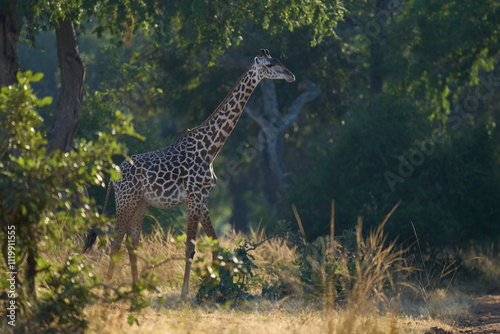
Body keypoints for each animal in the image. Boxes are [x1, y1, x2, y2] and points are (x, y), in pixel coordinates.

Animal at [81, 49, 292, 298]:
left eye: (279, 61)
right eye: (270, 64)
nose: (290, 75)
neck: (211, 149)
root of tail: (112, 176)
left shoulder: (203, 198)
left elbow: (214, 242)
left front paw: (216, 287)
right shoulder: (193, 196)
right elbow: (190, 246)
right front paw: (185, 293)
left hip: (141, 202)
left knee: (132, 242)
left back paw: (136, 289)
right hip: (126, 199)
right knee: (115, 242)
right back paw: (107, 290)